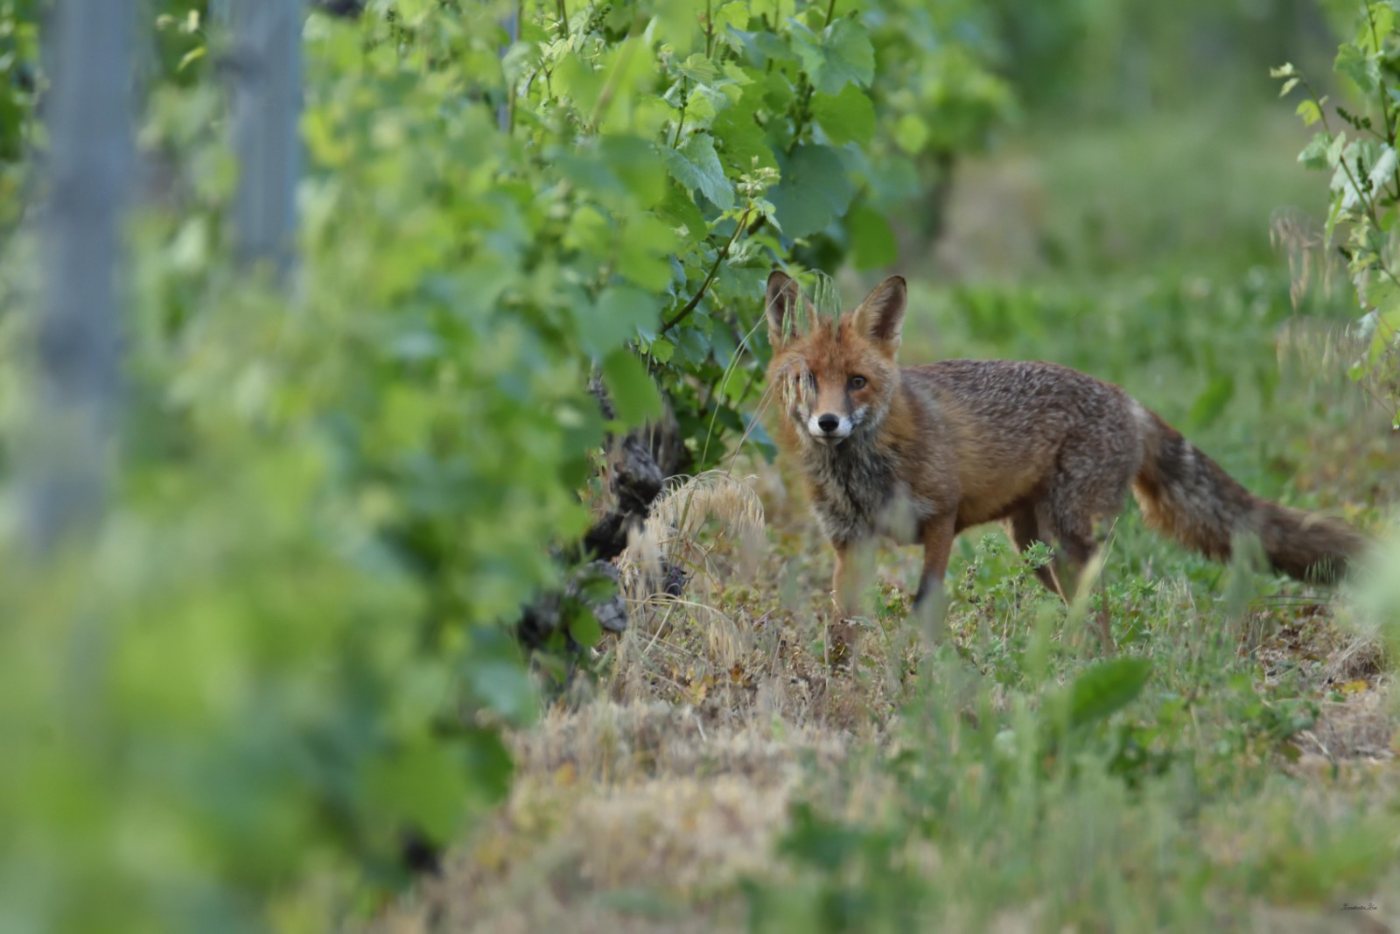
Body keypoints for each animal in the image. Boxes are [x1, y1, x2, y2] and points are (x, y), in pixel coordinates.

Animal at [762, 270, 1367, 646]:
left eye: (857, 382)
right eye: (807, 379)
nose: (827, 423)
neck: (862, 472)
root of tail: (1126, 398)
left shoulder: (940, 518)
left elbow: (926, 604)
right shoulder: (850, 541)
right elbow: (842, 624)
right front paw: (841, 683)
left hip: (1067, 537)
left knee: (1100, 607)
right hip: (1036, 547)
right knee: (1088, 606)